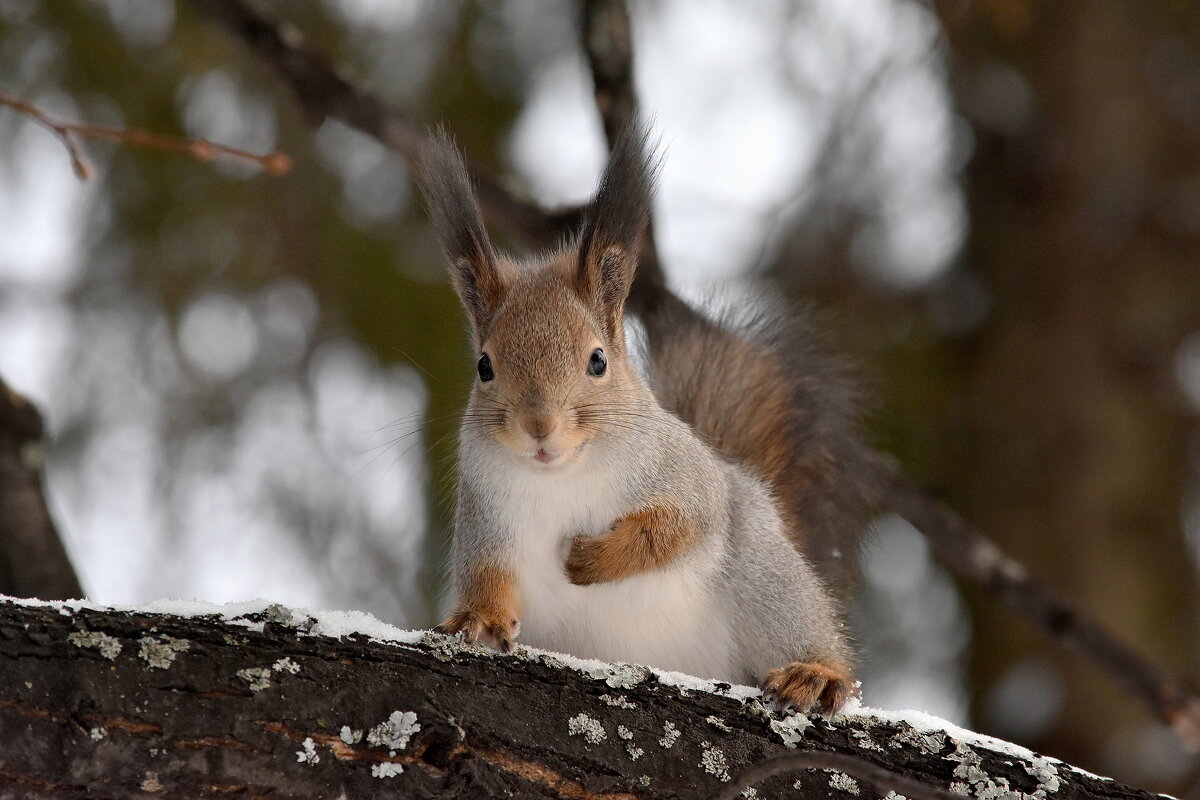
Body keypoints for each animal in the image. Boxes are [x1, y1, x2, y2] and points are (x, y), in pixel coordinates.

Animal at [420, 128, 873, 714]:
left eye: (597, 360)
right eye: (484, 366)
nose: (539, 426)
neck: (562, 475)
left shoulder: (686, 478)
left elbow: (677, 528)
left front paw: (591, 561)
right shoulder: (485, 512)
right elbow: (485, 573)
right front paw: (478, 619)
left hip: (765, 579)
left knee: (807, 631)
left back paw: (815, 674)